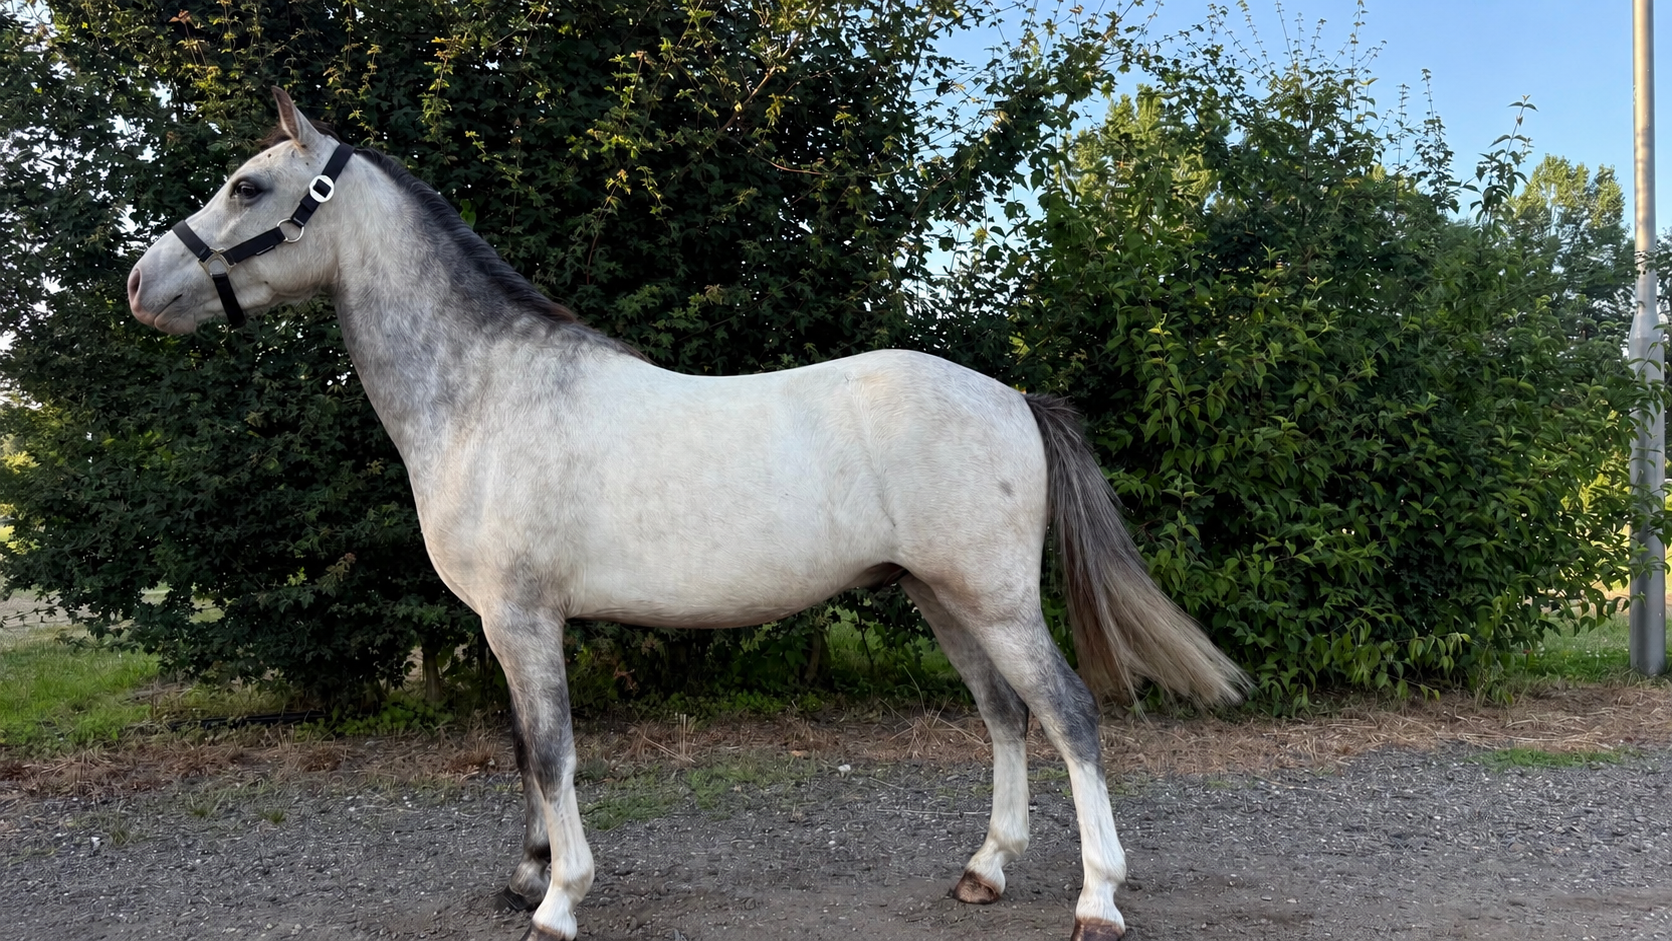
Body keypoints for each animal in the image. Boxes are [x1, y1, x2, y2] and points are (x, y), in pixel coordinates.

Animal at [126, 88, 1248, 941]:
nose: (141, 283)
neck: (486, 392)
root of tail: (1013, 396)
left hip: (997, 597)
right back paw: (985, 869)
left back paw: (1097, 899)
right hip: (941, 598)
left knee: (1070, 714)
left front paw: (558, 902)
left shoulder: (524, 618)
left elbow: (552, 751)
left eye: (248, 186)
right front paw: (525, 875)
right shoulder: (503, 625)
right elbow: (522, 749)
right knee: (1004, 715)